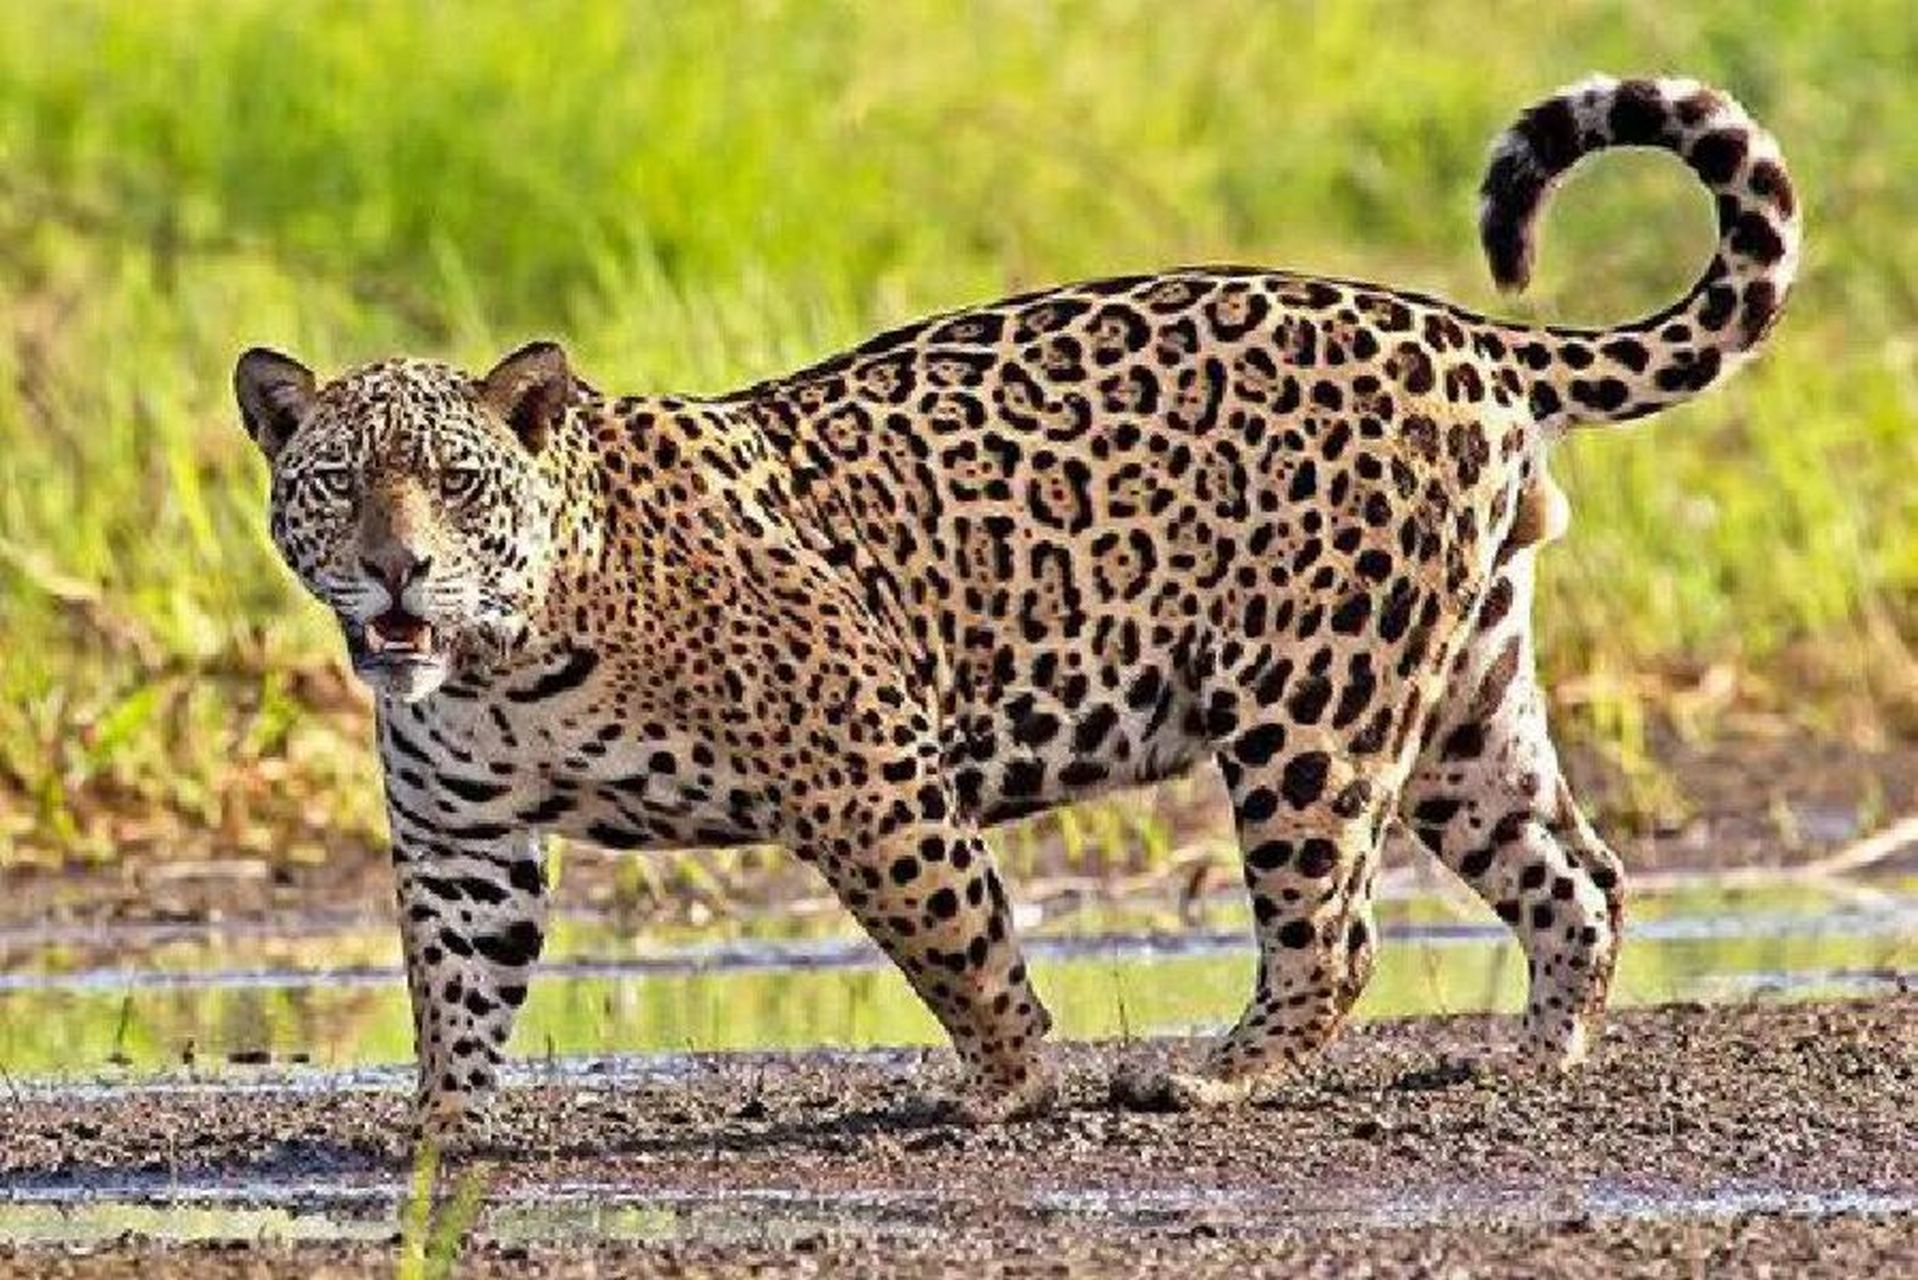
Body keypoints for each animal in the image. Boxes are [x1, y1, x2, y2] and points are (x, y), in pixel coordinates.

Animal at [233, 75, 1799, 1135]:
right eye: (338, 486)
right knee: (1575, 871)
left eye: (452, 482)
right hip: (1460, 695)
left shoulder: (866, 762)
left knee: (1336, 929)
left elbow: (954, 932)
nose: (395, 568)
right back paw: (1534, 1055)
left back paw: (1210, 1076)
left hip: (1309, 707)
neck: (501, 660)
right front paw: (441, 1136)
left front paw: (1008, 1083)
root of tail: (1463, 332)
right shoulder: (461, 838)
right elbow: (456, 989)